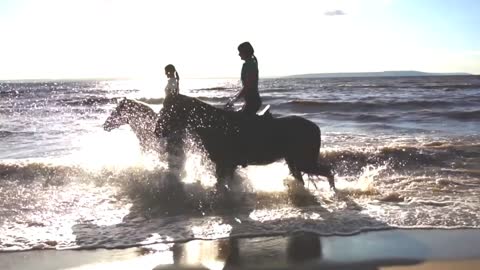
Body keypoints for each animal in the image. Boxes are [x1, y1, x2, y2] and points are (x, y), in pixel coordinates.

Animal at [156, 94, 336, 190]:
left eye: (168, 109)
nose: (157, 131)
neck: (215, 125)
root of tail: (315, 127)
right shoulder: (226, 166)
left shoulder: (224, 164)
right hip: (294, 162)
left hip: (304, 162)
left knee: (328, 172)